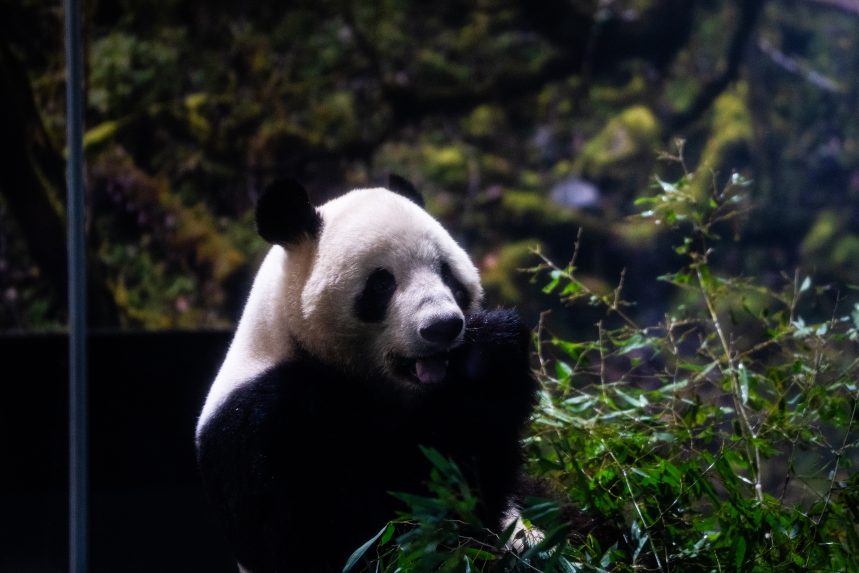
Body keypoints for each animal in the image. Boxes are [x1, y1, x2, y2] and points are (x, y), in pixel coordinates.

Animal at [196, 176, 538, 573]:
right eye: (382, 282)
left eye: (446, 272)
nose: (442, 326)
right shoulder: (262, 424)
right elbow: (339, 534)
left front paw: (490, 350)